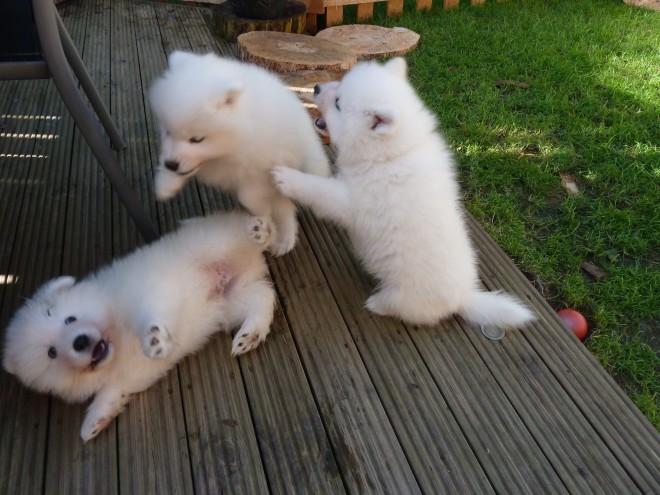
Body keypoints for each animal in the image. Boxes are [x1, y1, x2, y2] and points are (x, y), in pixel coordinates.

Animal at [3, 213, 276, 442]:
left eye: (69, 319)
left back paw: (257, 229)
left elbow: (148, 316)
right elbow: (109, 395)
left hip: (214, 243)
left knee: (247, 233)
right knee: (263, 296)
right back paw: (249, 335)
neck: (116, 339)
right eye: (51, 353)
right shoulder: (123, 379)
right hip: (230, 303)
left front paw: (153, 340)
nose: (80, 341)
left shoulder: (146, 293)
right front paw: (93, 423)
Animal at [152, 51, 332, 256]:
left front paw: (262, 217)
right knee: (285, 207)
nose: (171, 165)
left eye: (197, 139)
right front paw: (165, 184)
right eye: (167, 131)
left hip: (311, 164)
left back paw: (282, 238)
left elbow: (250, 198)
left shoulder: (261, 172)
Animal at [274, 57, 536, 330]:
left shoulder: (351, 201)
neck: (392, 153)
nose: (315, 88)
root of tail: (464, 297)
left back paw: (376, 303)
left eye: (338, 103)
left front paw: (286, 177)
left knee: (400, 307)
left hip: (407, 296)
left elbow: (319, 190)